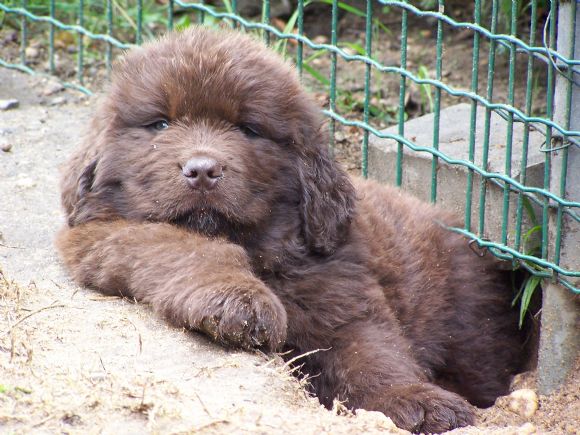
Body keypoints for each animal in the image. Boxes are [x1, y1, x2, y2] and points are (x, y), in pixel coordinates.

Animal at [57, 27, 525, 433]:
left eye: (248, 129)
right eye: (160, 124)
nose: (202, 170)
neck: (264, 251)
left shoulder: (341, 295)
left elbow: (373, 353)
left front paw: (416, 400)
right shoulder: (100, 234)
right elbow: (184, 246)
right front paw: (240, 301)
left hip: (471, 322)